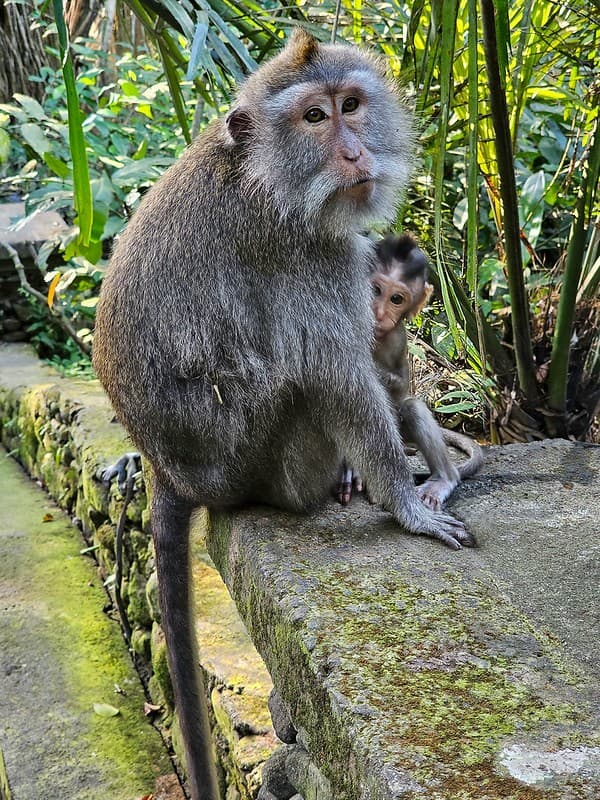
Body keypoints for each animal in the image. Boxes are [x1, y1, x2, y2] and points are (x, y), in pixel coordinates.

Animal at [92, 30, 474, 800]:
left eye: (351, 106)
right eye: (314, 118)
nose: (354, 154)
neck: (262, 176)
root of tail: (172, 472)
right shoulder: (304, 254)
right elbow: (335, 375)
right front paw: (406, 503)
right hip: (263, 461)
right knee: (300, 382)